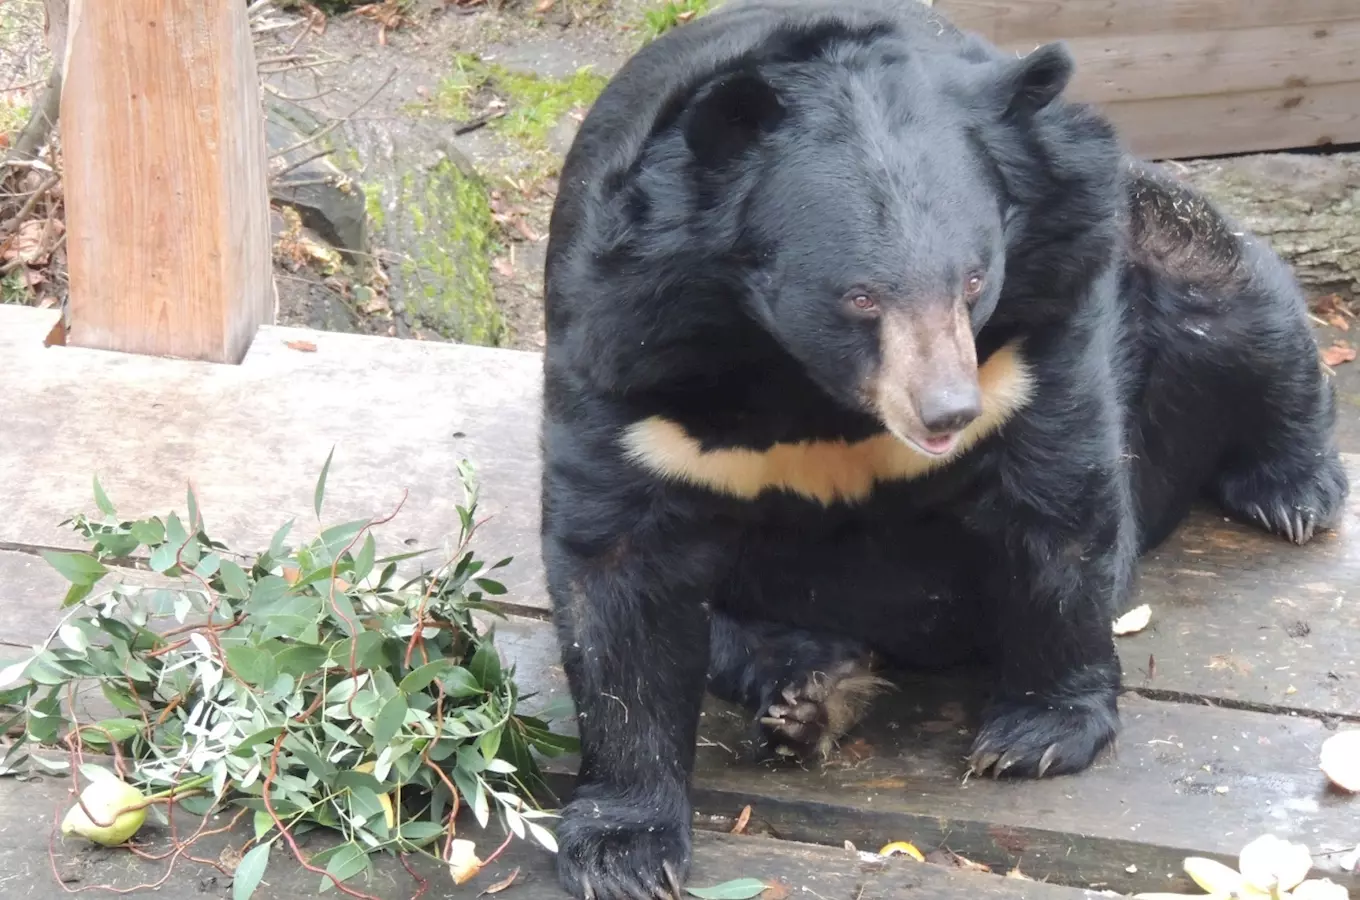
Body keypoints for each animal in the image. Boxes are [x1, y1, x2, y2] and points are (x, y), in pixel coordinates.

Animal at [535, 3, 1343, 897]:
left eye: (973, 278)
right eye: (858, 297)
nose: (948, 412)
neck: (808, 385)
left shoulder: (1039, 322)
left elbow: (1057, 501)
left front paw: (1036, 733)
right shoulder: (626, 359)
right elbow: (619, 578)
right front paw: (624, 850)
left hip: (1157, 235)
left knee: (1239, 306)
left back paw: (1294, 489)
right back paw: (811, 690)